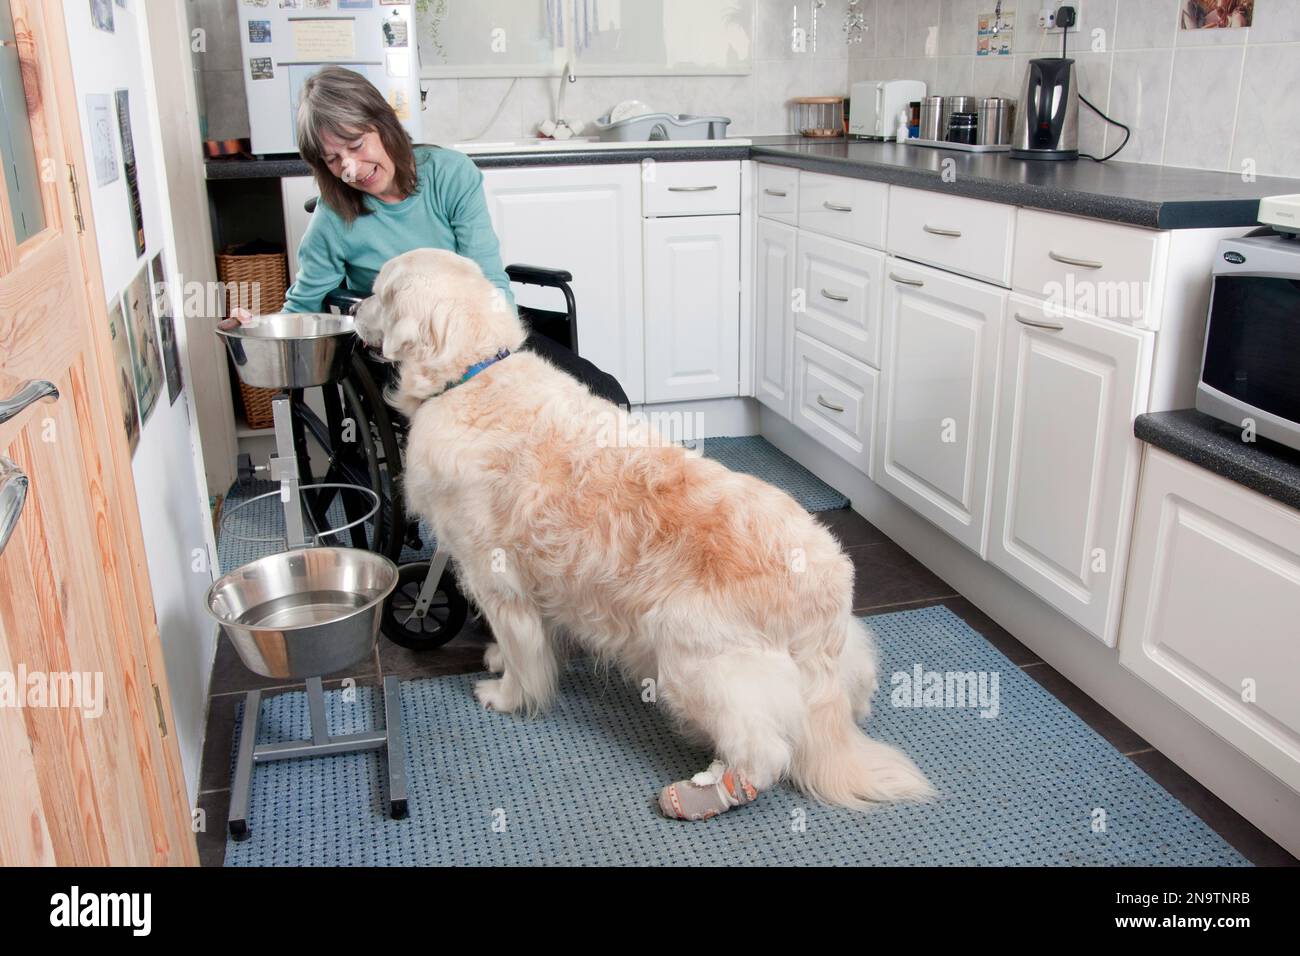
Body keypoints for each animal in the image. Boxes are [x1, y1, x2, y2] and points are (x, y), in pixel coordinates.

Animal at [356, 248, 925, 822]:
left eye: (378, 291)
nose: (352, 308)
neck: (469, 375)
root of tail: (826, 596)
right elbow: (532, 639)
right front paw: (501, 659)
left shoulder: (496, 578)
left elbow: (521, 652)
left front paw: (505, 694)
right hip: (832, 657)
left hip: (695, 655)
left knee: (764, 752)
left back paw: (705, 791)